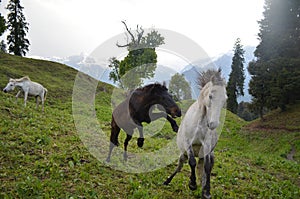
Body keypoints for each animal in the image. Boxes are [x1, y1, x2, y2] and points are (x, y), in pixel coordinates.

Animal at [164, 69, 227, 199]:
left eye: (225, 99)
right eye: (210, 96)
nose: (213, 124)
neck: (199, 123)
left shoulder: (207, 146)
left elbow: (206, 168)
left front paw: (206, 192)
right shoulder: (188, 143)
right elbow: (192, 162)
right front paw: (192, 184)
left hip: (208, 155)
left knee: (205, 169)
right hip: (182, 155)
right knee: (179, 167)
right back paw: (167, 181)